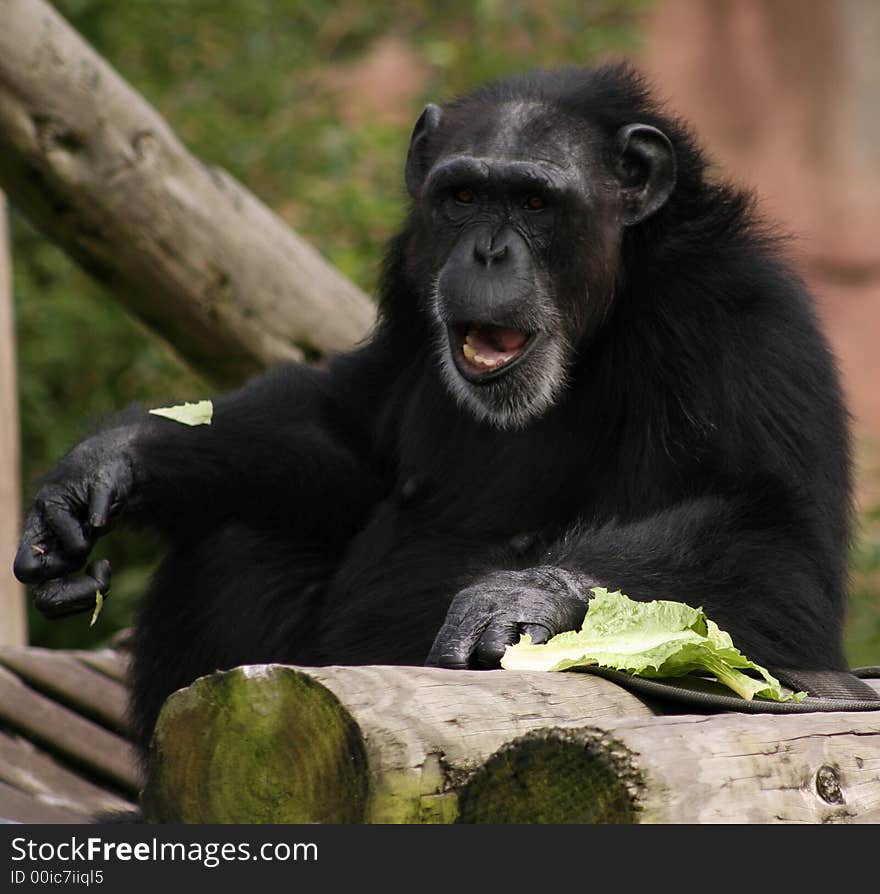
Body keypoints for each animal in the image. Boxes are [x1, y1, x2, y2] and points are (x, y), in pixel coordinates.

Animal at [13, 65, 872, 748]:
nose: (489, 251)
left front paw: (526, 597)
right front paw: (112, 464)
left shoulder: (743, 323)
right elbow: (348, 433)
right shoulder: (403, 293)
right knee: (239, 535)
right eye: (463, 195)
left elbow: (777, 544)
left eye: (534, 202)